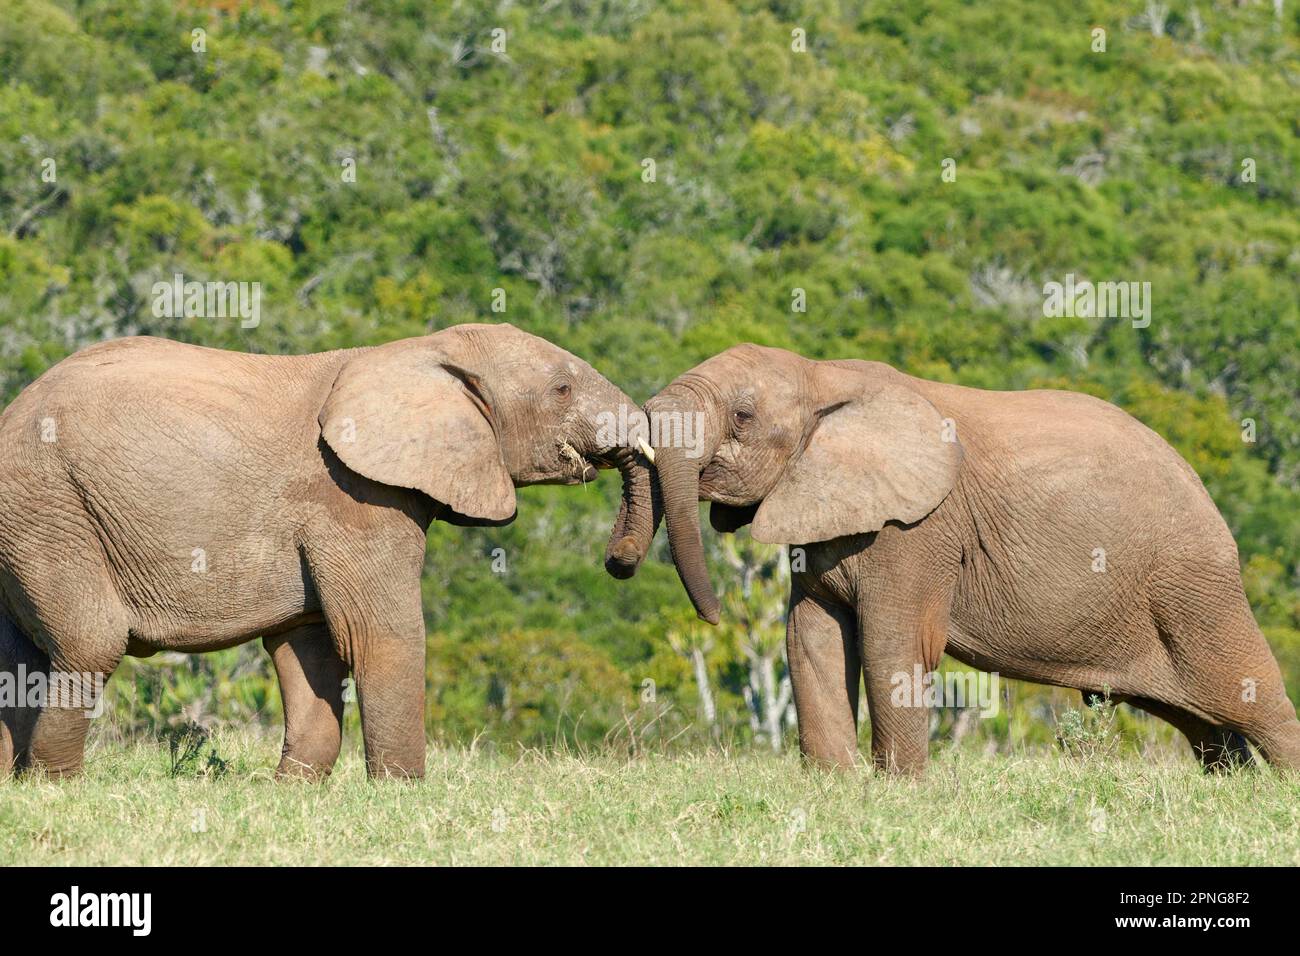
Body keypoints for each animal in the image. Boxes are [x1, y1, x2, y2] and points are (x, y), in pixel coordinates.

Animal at [0, 321, 650, 780]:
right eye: (562, 389)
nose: (618, 562)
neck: (418, 350)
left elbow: (307, 646)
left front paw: (291, 790)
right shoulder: (352, 495)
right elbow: (379, 634)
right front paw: (400, 794)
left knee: (18, 656)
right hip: (49, 507)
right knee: (90, 640)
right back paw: (55, 784)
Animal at [605, 343, 1300, 780]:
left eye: (743, 416)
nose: (619, 562)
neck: (823, 374)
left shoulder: (918, 529)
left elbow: (893, 644)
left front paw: (898, 790)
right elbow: (811, 637)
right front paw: (834, 785)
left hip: (1193, 585)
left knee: (1250, 693)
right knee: (1206, 725)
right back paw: (1232, 787)